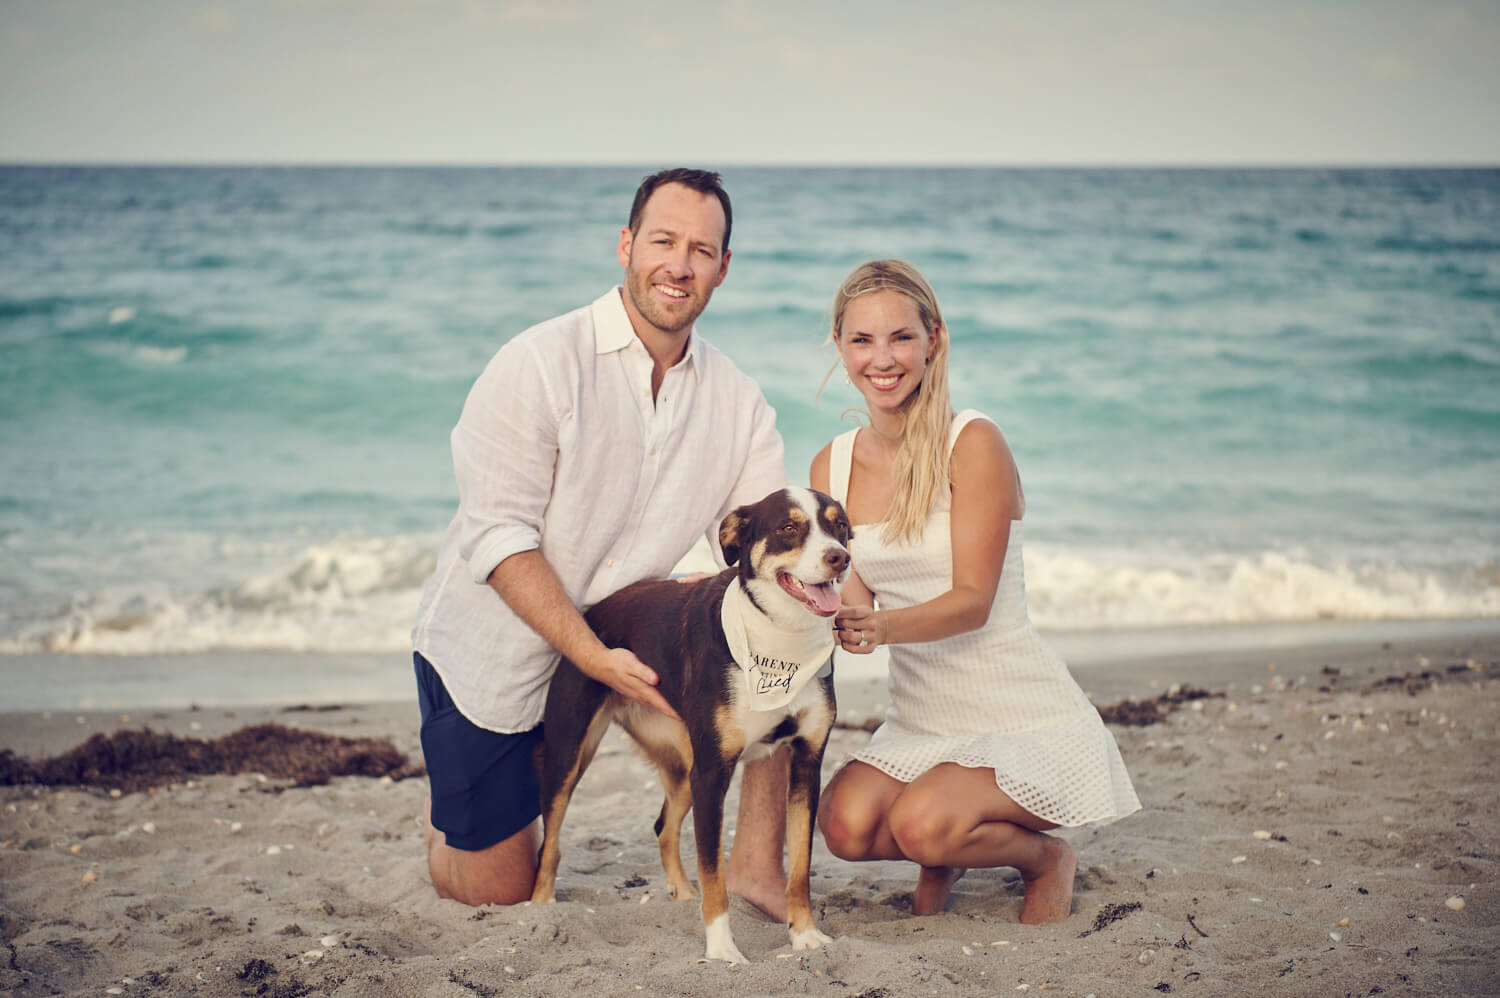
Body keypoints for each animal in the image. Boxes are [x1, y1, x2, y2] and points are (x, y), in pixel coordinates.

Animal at [534, 486, 852, 960]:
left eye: (840, 526)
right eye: (788, 527)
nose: (839, 558)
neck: (779, 637)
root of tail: (590, 615)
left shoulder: (806, 763)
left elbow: (799, 868)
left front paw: (805, 935)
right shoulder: (713, 772)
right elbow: (714, 872)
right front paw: (722, 952)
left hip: (684, 767)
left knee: (663, 828)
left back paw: (683, 896)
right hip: (570, 752)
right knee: (550, 841)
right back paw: (538, 909)